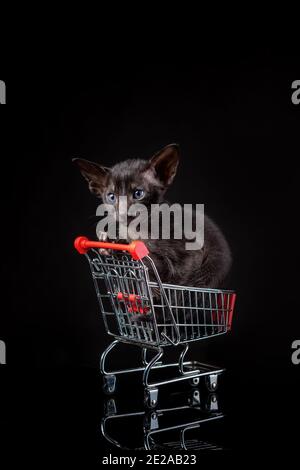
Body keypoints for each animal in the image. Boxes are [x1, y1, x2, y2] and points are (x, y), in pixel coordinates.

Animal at [73, 145, 232, 288]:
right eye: (111, 197)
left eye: (138, 193)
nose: (123, 213)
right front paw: (109, 243)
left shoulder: (191, 255)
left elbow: (174, 279)